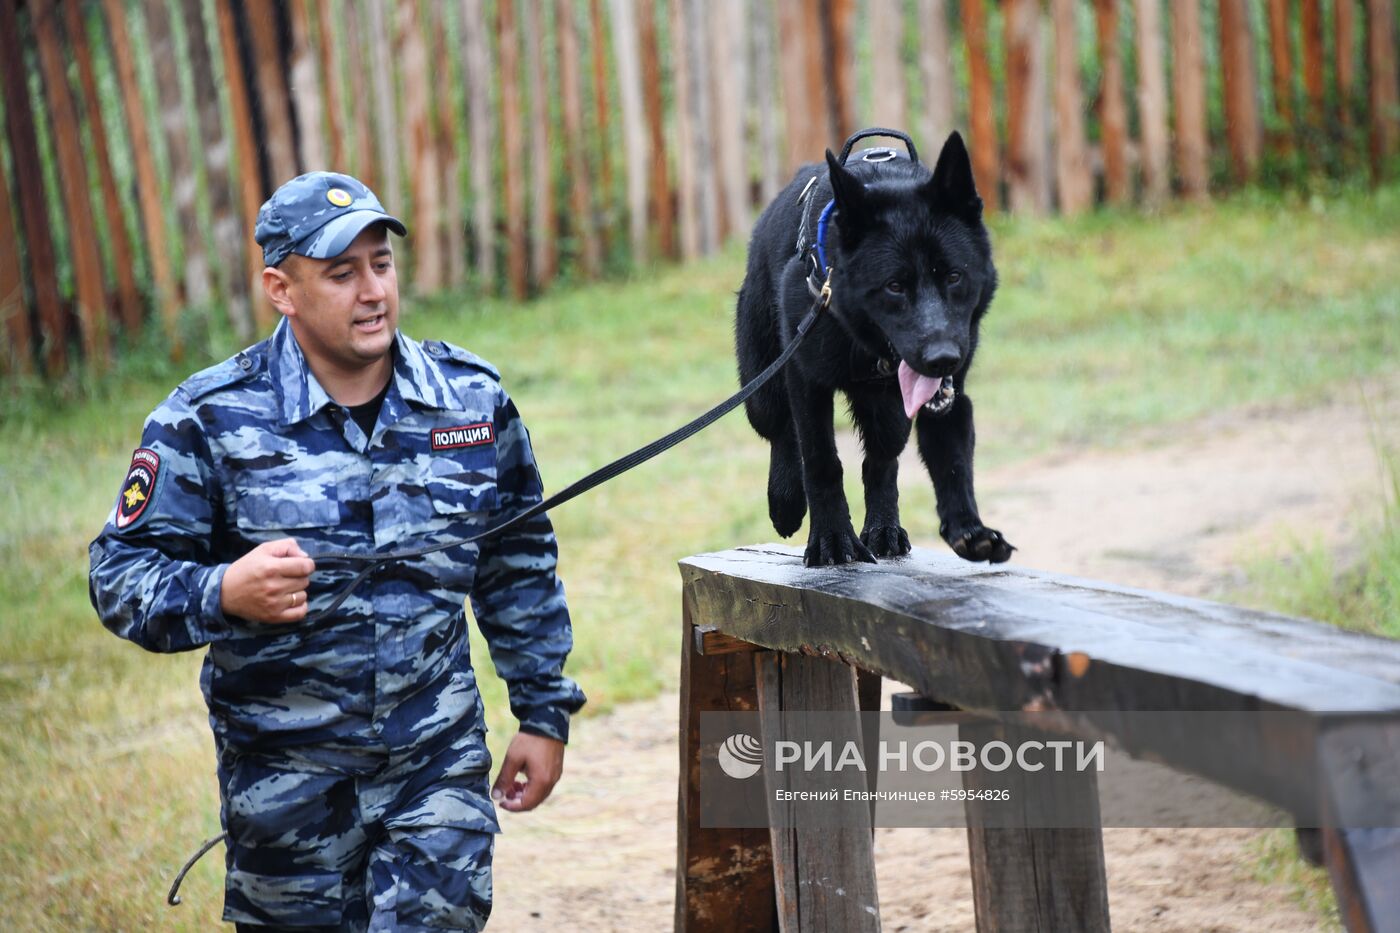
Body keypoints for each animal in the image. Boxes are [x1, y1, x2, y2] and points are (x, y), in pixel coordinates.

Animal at [733, 132, 1019, 565]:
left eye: (954, 276)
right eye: (894, 286)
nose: (942, 360)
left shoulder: (949, 397)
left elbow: (952, 461)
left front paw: (969, 530)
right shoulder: (806, 383)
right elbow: (821, 460)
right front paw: (831, 539)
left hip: (890, 416)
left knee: (881, 462)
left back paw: (884, 530)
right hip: (763, 388)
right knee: (781, 431)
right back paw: (785, 501)